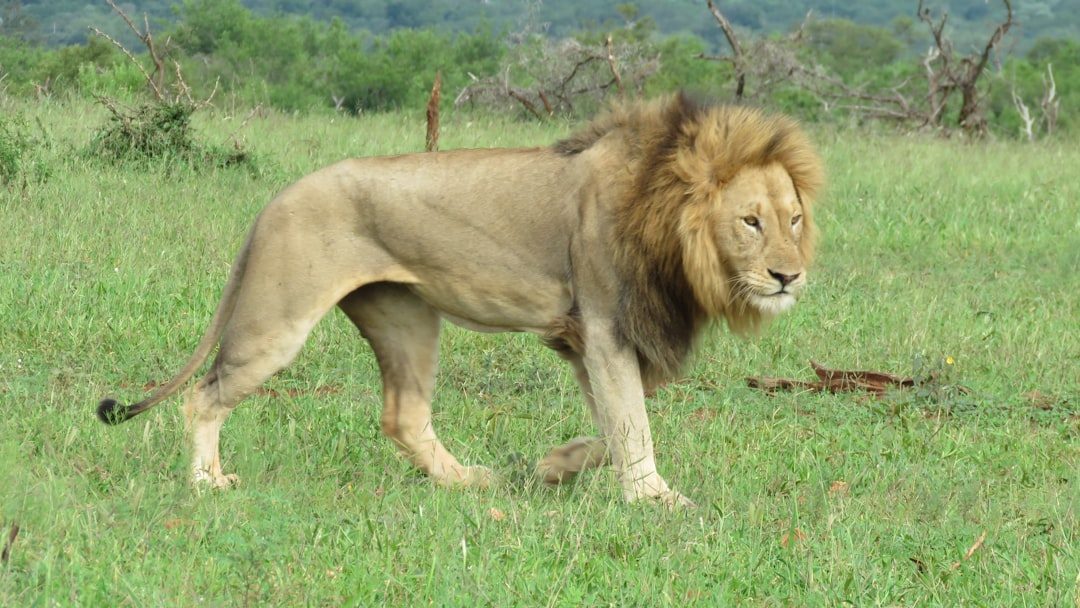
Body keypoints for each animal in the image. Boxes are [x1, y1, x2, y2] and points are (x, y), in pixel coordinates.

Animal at [95, 93, 823, 507]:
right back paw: (206, 484)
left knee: (403, 418)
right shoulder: (603, 325)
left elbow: (617, 421)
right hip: (278, 322)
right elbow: (631, 423)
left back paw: (468, 482)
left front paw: (557, 467)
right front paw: (653, 499)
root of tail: (273, 200)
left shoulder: (585, 337)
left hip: (406, 318)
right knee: (205, 395)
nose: (788, 277)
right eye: (750, 222)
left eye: (793, 219)